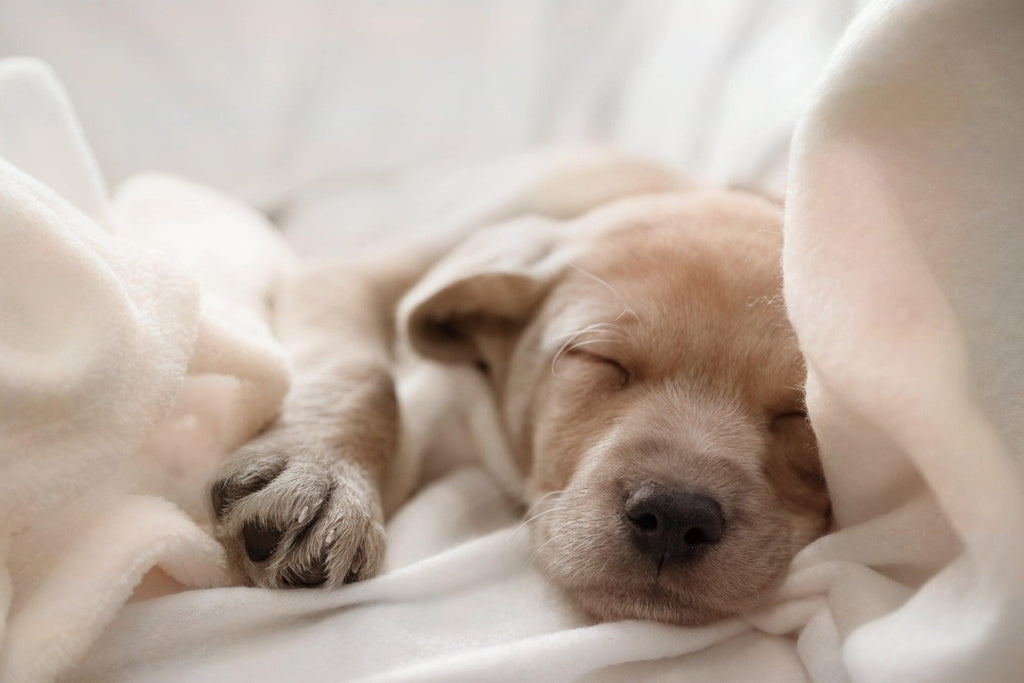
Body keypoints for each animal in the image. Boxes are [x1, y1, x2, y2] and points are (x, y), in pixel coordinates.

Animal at [209, 153, 831, 626]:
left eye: (800, 414)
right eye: (601, 359)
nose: (676, 519)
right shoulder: (356, 272)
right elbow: (367, 374)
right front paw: (321, 472)